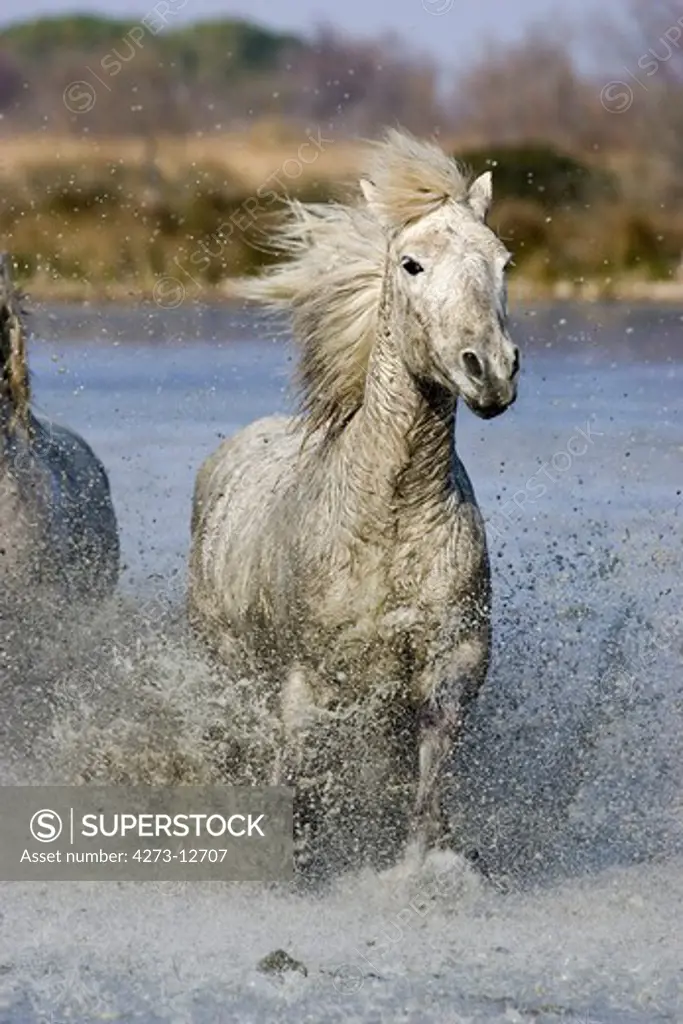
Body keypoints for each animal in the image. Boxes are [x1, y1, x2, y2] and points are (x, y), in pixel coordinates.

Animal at [187, 130, 518, 864]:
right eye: (412, 264)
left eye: (503, 261)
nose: (490, 373)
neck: (388, 516)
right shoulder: (307, 686)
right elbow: (296, 786)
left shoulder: (450, 669)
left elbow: (424, 798)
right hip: (231, 666)